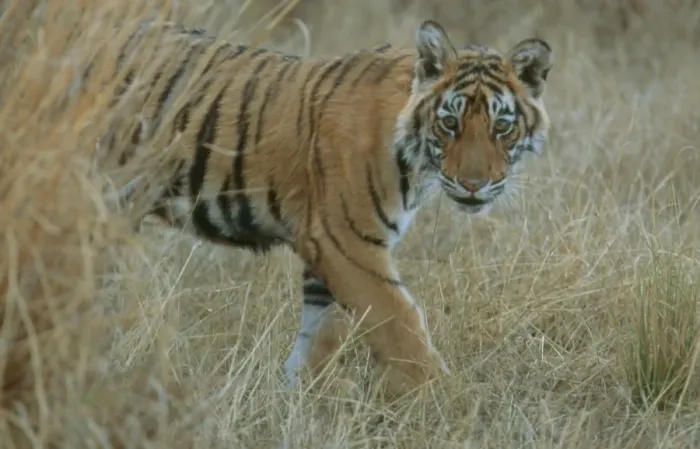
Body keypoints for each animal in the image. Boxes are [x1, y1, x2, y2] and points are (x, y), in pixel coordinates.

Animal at [98, 18, 554, 397]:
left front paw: (302, 395)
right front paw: (444, 398)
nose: (474, 185)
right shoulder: (346, 242)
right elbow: (400, 324)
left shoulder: (330, 250)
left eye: (502, 127)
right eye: (450, 123)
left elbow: (322, 331)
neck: (416, 159)